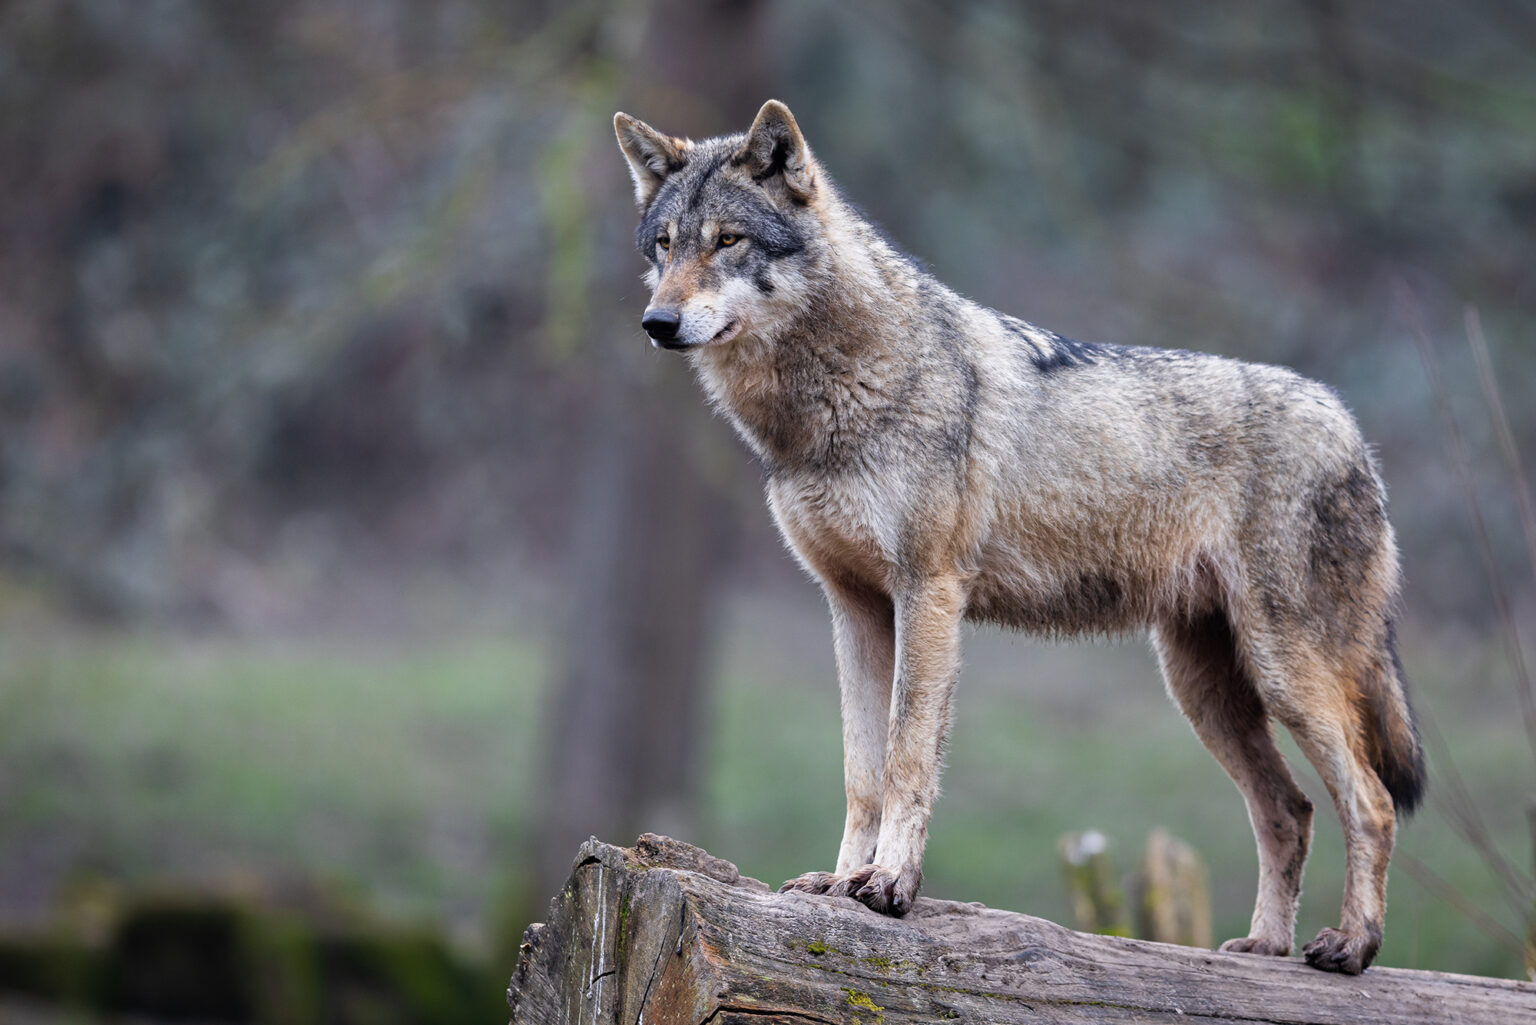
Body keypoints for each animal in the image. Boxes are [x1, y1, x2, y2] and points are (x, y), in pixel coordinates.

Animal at [613, 100, 1424, 975]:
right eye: (665, 245)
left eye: (728, 240)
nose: (657, 322)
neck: (835, 395)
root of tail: (1352, 429)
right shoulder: (853, 608)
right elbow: (862, 770)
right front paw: (838, 883)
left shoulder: (929, 594)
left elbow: (906, 758)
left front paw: (888, 885)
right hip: (1205, 689)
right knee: (1291, 808)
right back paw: (1263, 949)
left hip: (1284, 674)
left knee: (1372, 801)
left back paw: (1351, 944)